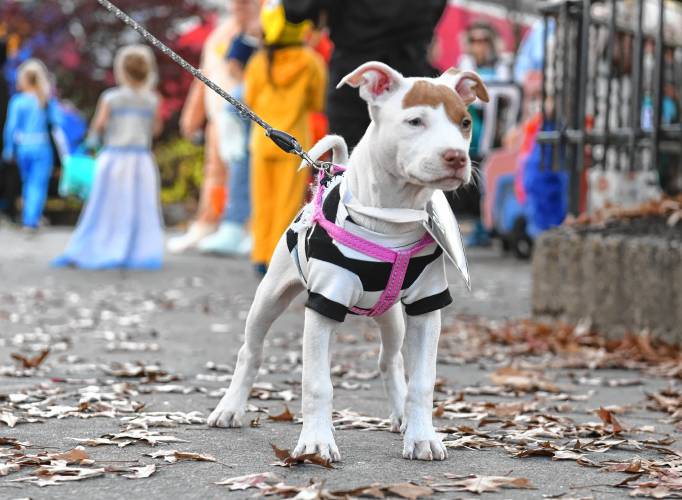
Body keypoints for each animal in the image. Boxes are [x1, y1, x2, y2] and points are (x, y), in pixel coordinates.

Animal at [205, 61, 486, 460]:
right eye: (415, 121)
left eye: (464, 122)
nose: (456, 157)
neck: (392, 220)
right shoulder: (324, 305)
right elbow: (317, 384)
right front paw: (316, 443)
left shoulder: (427, 305)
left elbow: (423, 381)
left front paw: (422, 438)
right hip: (269, 298)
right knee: (251, 351)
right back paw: (229, 408)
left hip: (391, 317)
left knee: (390, 360)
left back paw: (401, 416)